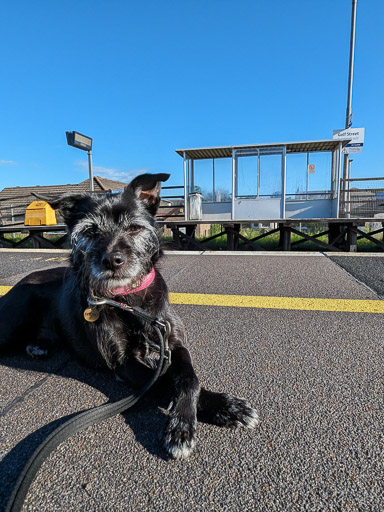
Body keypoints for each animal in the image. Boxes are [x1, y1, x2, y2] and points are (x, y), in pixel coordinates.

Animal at [0, 174, 260, 458]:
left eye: (134, 228)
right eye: (90, 231)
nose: (112, 260)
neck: (130, 301)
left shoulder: (174, 343)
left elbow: (190, 379)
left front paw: (227, 407)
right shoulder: (123, 362)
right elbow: (164, 382)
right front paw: (183, 425)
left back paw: (38, 345)